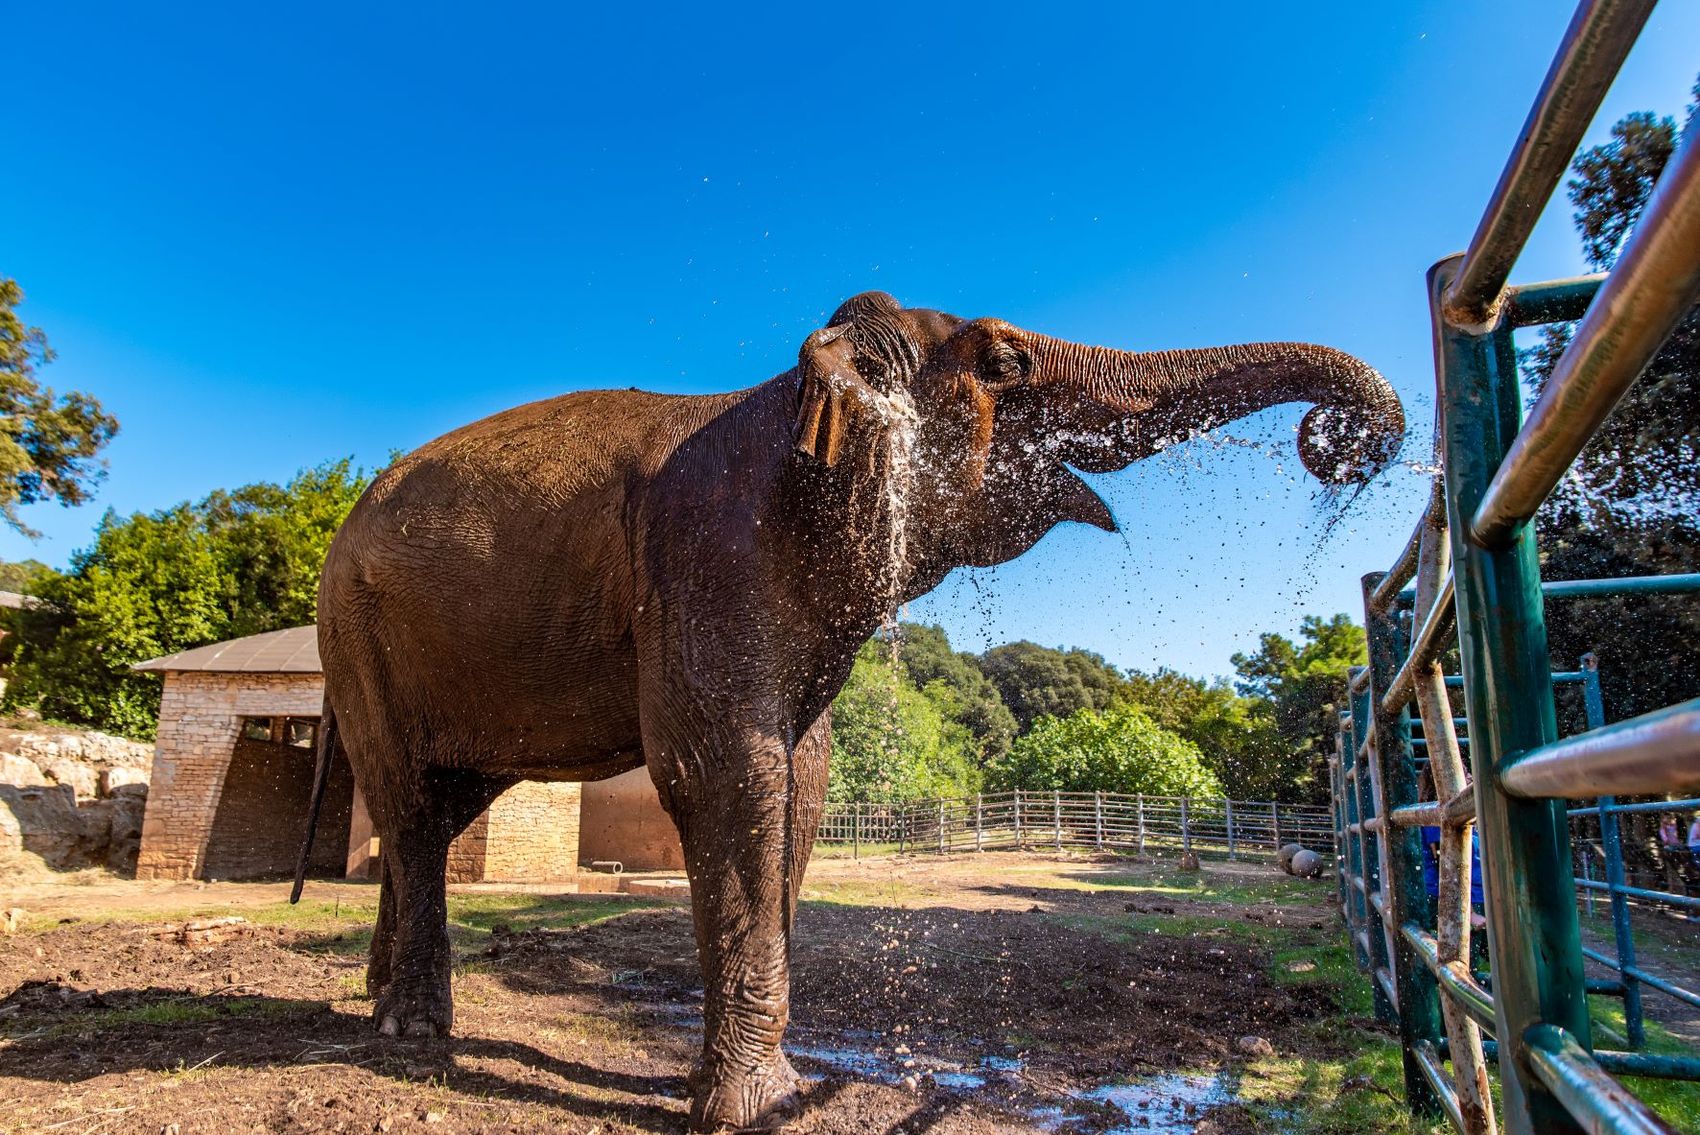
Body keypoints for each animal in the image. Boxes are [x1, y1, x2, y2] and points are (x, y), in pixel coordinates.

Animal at [295, 290, 1407, 1128]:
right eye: (1005, 362)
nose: (1337, 442)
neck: (794, 391)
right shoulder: (705, 558)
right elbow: (728, 774)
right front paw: (752, 1108)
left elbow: (802, 781)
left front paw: (757, 1091)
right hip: (356, 633)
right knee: (410, 804)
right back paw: (410, 1031)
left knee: (439, 813)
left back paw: (383, 1003)